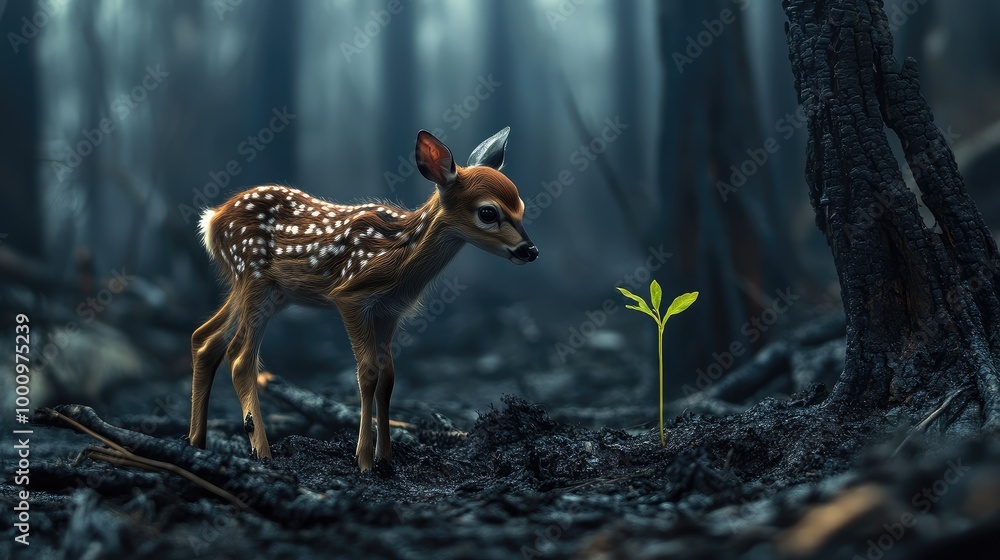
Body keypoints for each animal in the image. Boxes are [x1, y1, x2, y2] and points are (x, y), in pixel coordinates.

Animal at [187, 127, 538, 471]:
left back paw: (197, 442)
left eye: (521, 207)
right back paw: (262, 453)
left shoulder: (389, 311)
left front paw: (387, 460)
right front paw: (365, 461)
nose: (530, 251)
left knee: (205, 337)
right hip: (253, 276)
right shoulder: (351, 297)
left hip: (262, 289)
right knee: (240, 357)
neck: (399, 258)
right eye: (488, 212)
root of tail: (212, 219)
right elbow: (367, 373)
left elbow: (388, 378)